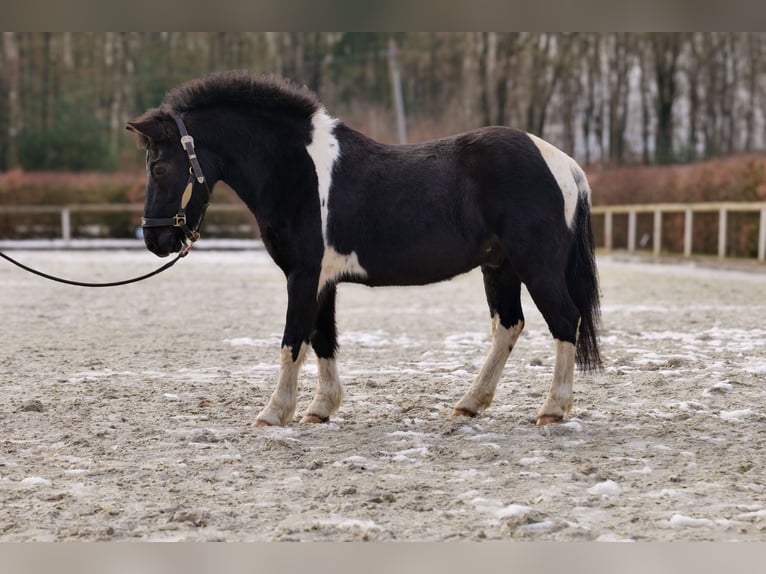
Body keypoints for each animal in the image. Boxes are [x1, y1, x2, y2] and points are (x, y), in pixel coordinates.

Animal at [129, 71, 604, 428]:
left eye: (159, 166)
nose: (155, 240)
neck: (298, 171)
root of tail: (565, 163)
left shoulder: (303, 276)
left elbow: (292, 341)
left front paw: (274, 413)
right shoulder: (321, 281)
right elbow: (323, 339)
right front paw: (320, 409)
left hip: (536, 266)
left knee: (565, 320)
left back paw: (552, 409)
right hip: (499, 267)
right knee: (508, 326)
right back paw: (470, 403)